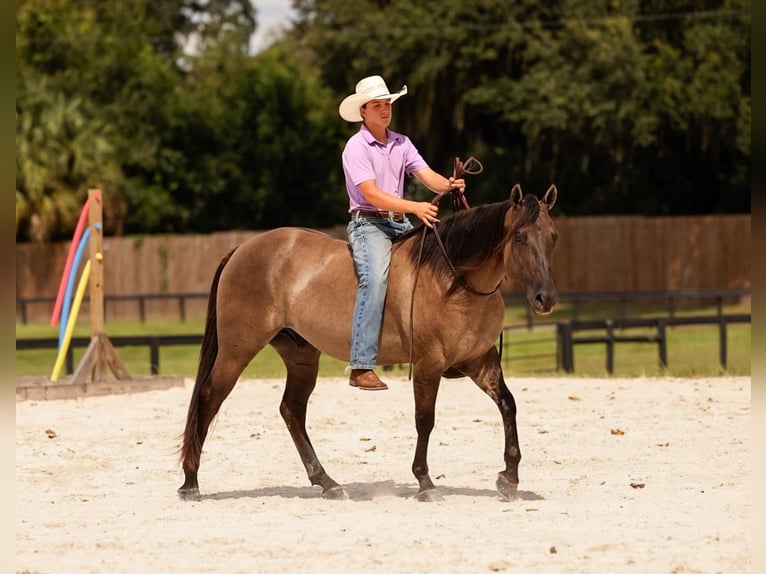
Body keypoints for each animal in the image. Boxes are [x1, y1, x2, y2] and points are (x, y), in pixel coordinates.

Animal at [179, 184, 558, 502]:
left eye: (552, 236)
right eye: (520, 237)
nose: (546, 298)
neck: (453, 280)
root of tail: (241, 249)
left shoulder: (480, 360)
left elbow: (508, 405)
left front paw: (509, 477)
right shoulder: (428, 364)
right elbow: (425, 419)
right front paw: (425, 482)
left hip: (301, 355)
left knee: (292, 410)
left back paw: (327, 483)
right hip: (237, 350)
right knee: (209, 397)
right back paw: (190, 482)